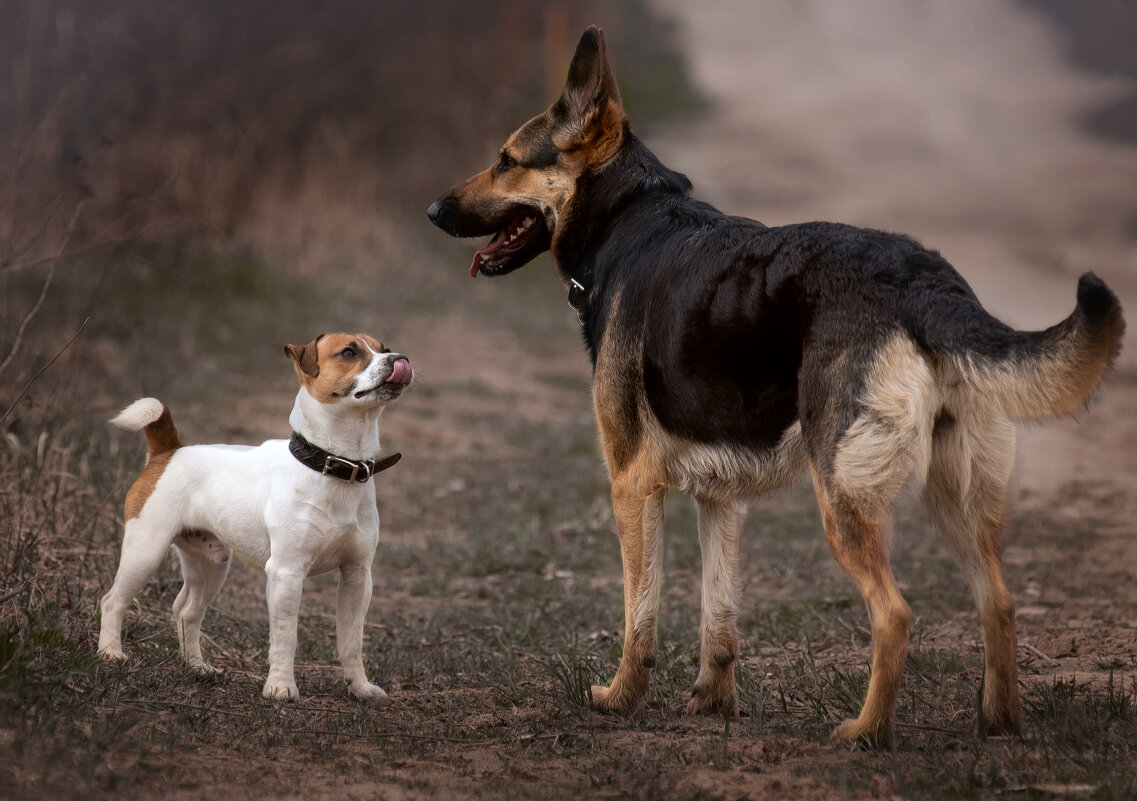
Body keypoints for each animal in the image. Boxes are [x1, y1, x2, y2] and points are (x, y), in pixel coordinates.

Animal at [96, 332, 409, 700]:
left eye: (383, 348)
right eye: (349, 352)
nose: (399, 360)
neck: (335, 466)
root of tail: (168, 451)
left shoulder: (357, 576)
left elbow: (352, 640)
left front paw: (359, 687)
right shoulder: (286, 573)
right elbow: (286, 636)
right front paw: (280, 687)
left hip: (212, 564)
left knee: (187, 612)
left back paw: (197, 667)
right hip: (145, 551)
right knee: (113, 601)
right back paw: (110, 653)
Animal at [427, 26, 1127, 746]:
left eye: (505, 161)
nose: (431, 210)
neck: (627, 217)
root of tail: (925, 279)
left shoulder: (630, 485)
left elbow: (639, 616)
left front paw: (621, 698)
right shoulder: (719, 499)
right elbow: (719, 620)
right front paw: (712, 703)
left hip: (842, 498)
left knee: (895, 613)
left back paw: (865, 732)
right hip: (953, 502)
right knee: (1000, 601)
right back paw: (999, 723)